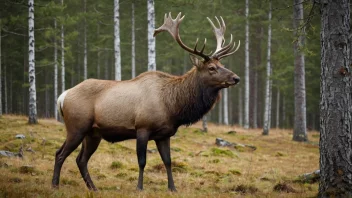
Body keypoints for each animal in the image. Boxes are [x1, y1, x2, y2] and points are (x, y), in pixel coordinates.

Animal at [51, 12, 239, 192]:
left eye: (222, 64)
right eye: (212, 68)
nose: (236, 78)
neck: (173, 107)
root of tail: (63, 96)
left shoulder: (164, 134)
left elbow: (168, 161)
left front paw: (173, 188)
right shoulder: (142, 128)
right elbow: (142, 161)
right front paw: (139, 188)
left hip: (92, 133)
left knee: (80, 159)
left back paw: (94, 188)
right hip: (77, 127)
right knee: (60, 154)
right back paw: (55, 185)